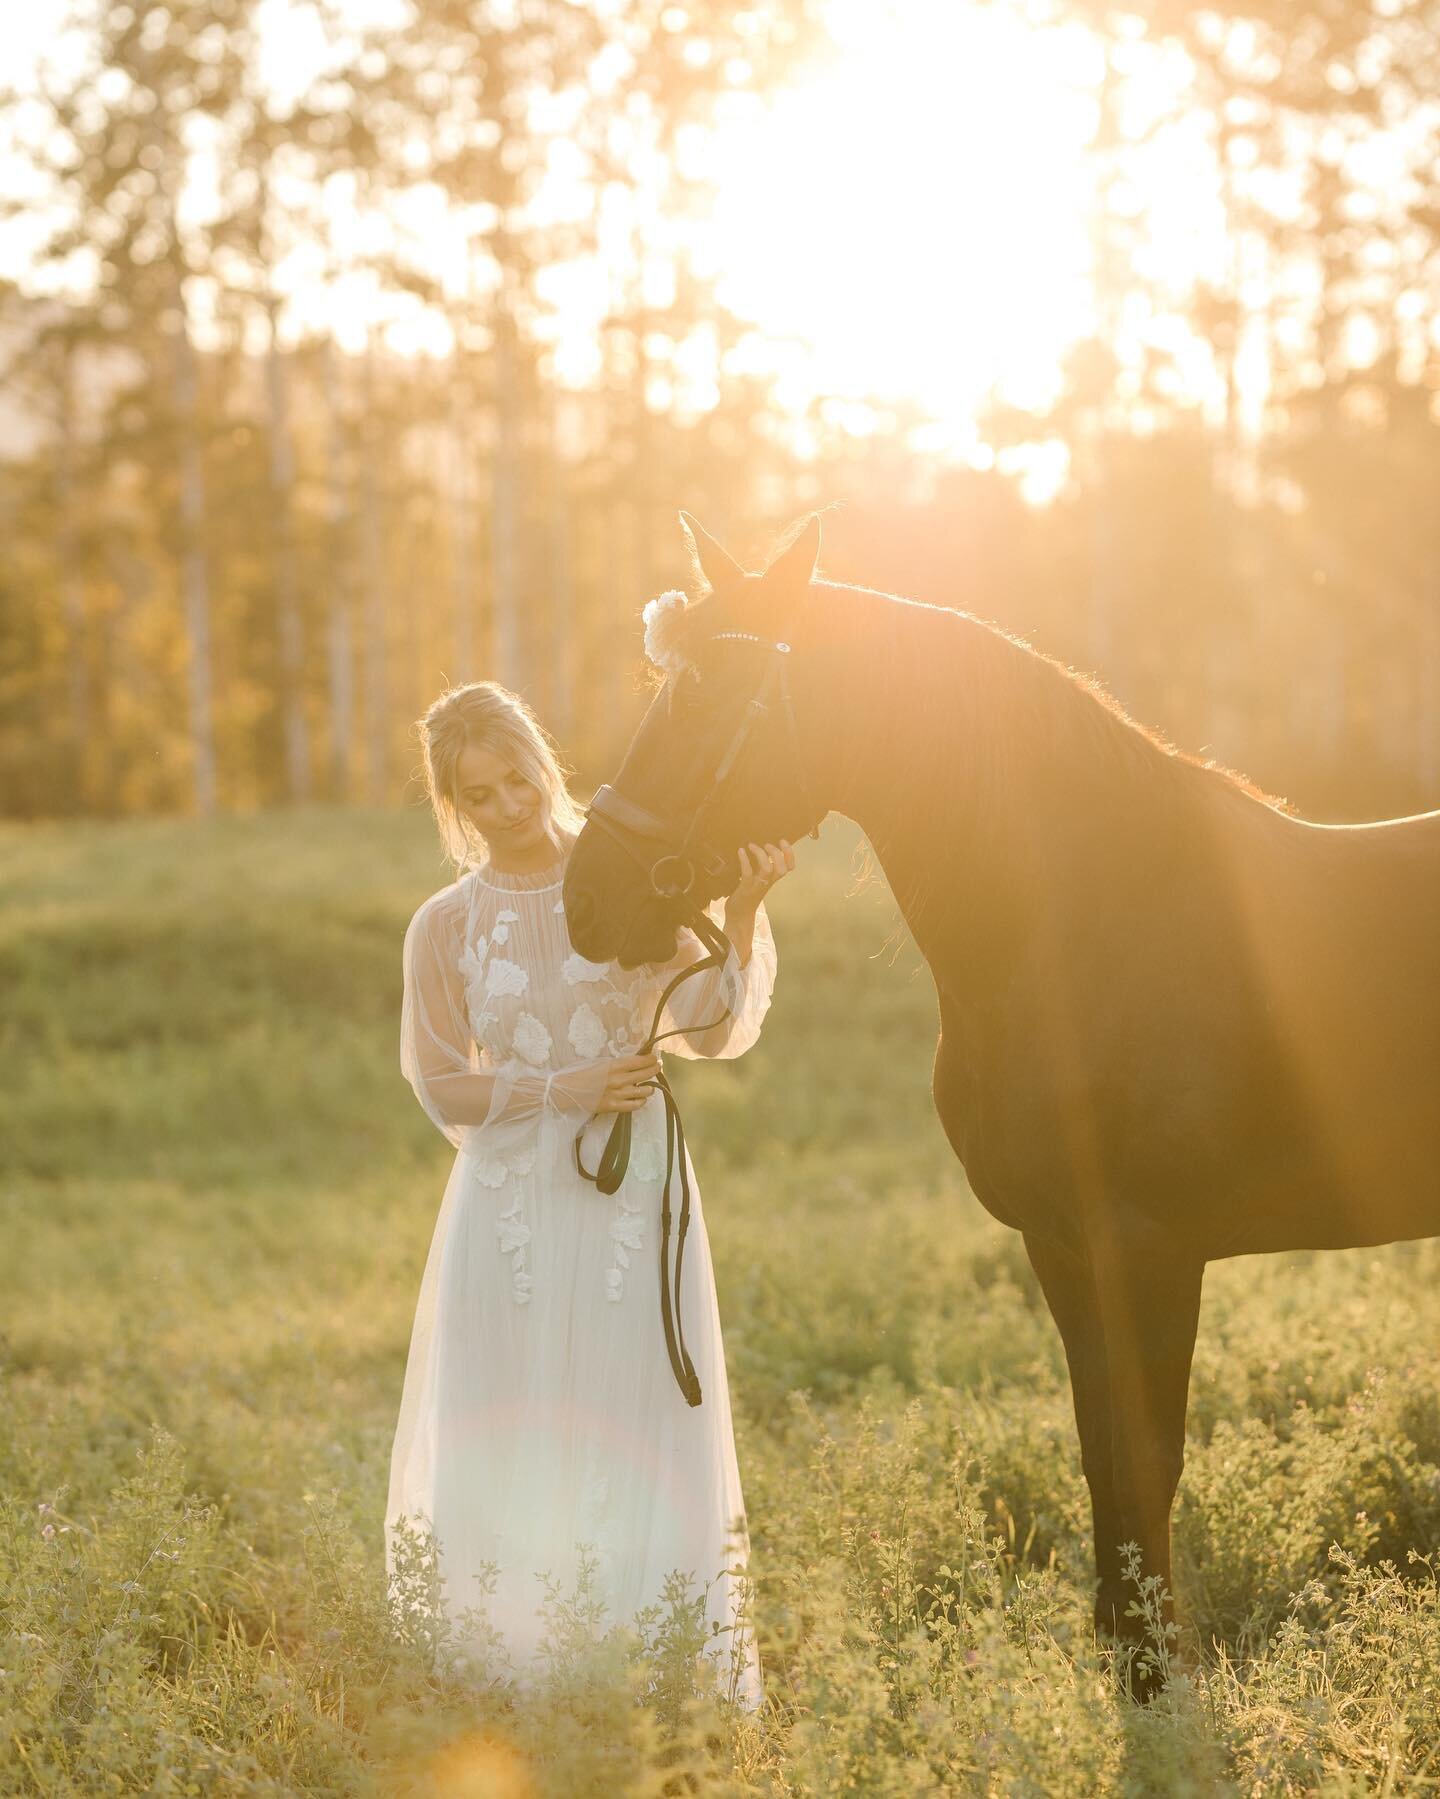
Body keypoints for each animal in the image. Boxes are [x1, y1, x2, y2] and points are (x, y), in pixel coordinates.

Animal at [558, 507, 1440, 1669]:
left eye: (707, 692)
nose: (586, 899)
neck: (1086, 926)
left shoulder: (1150, 1247)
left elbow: (1147, 1456)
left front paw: (1153, 1665)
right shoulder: (1061, 1246)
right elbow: (1102, 1454)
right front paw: (1121, 1653)